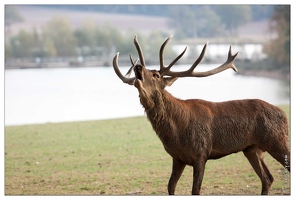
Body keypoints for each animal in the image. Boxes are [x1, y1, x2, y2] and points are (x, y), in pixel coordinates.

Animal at [112, 35, 290, 195]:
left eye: (156, 75)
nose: (138, 66)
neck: (176, 132)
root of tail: (284, 114)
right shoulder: (177, 158)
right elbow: (170, 187)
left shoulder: (201, 153)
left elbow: (195, 190)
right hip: (252, 149)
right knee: (267, 178)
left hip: (276, 140)